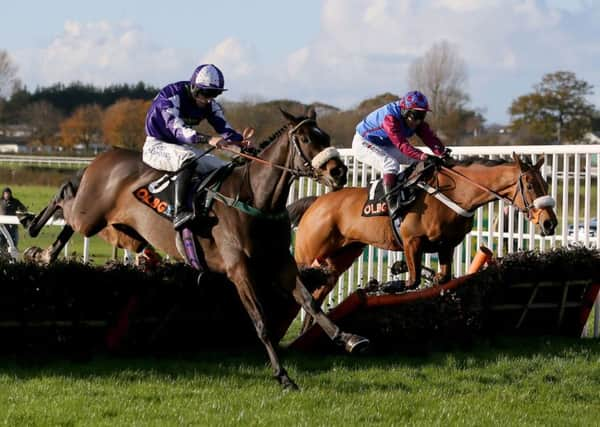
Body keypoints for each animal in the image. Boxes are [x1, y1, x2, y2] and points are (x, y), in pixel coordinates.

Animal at [23, 108, 368, 392]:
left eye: (325, 137)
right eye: (307, 138)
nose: (338, 172)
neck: (256, 199)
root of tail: (106, 155)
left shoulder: (280, 262)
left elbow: (310, 301)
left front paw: (349, 338)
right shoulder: (239, 270)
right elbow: (261, 323)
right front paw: (283, 377)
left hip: (118, 231)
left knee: (70, 218)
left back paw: (46, 252)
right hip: (89, 216)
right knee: (65, 197)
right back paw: (33, 231)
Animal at [288, 155, 560, 330]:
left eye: (545, 183)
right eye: (530, 185)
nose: (550, 223)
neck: (453, 194)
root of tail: (314, 203)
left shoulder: (447, 246)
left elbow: (442, 278)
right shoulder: (412, 241)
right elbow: (413, 280)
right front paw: (387, 281)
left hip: (338, 260)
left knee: (316, 297)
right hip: (307, 256)